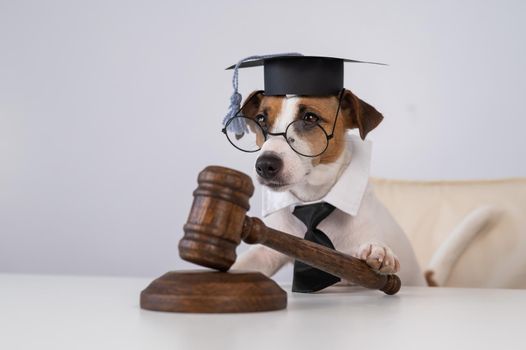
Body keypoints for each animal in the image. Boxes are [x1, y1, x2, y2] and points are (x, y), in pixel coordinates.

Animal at [233, 88, 432, 288]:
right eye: (260, 119)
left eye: (310, 117)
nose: (265, 165)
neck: (313, 198)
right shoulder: (271, 248)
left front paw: (379, 250)